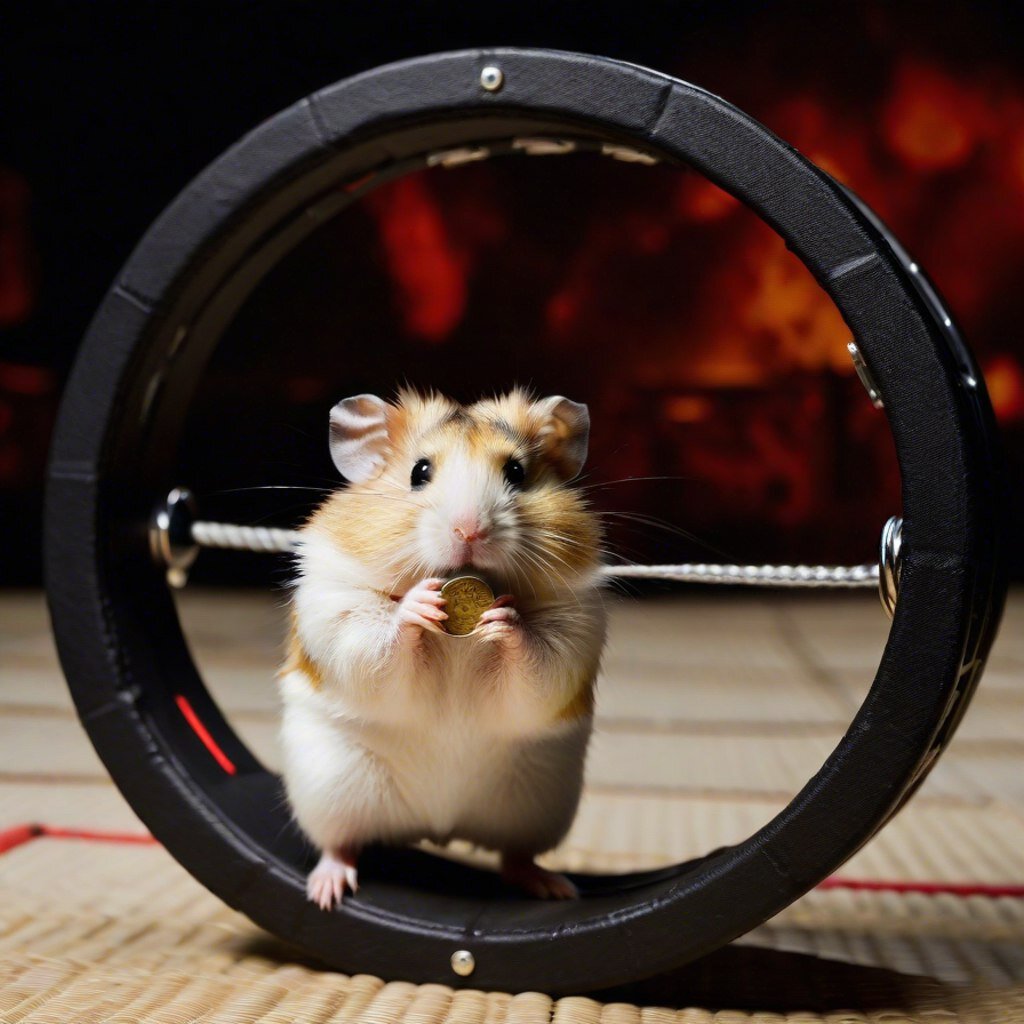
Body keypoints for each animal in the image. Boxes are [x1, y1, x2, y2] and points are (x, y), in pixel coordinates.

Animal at [279, 388, 606, 909]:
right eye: (419, 472)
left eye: (517, 472)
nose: (469, 531)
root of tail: (438, 825)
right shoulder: (340, 612)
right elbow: (379, 636)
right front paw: (422, 603)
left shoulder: (573, 630)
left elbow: (537, 660)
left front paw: (500, 619)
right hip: (330, 786)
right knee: (338, 843)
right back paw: (327, 891)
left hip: (537, 804)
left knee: (516, 857)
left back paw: (556, 888)